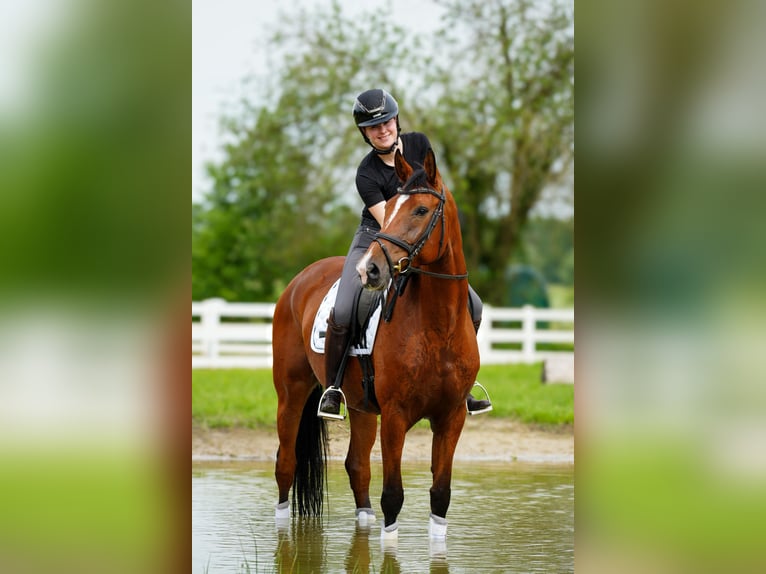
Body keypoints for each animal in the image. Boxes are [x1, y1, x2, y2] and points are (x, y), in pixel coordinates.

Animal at [272, 148, 480, 541]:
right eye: (393, 206)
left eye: (421, 210)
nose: (369, 270)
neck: (437, 327)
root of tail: (298, 281)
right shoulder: (396, 417)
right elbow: (393, 497)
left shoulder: (452, 417)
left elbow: (440, 496)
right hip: (291, 394)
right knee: (285, 464)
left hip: (361, 407)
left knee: (357, 466)